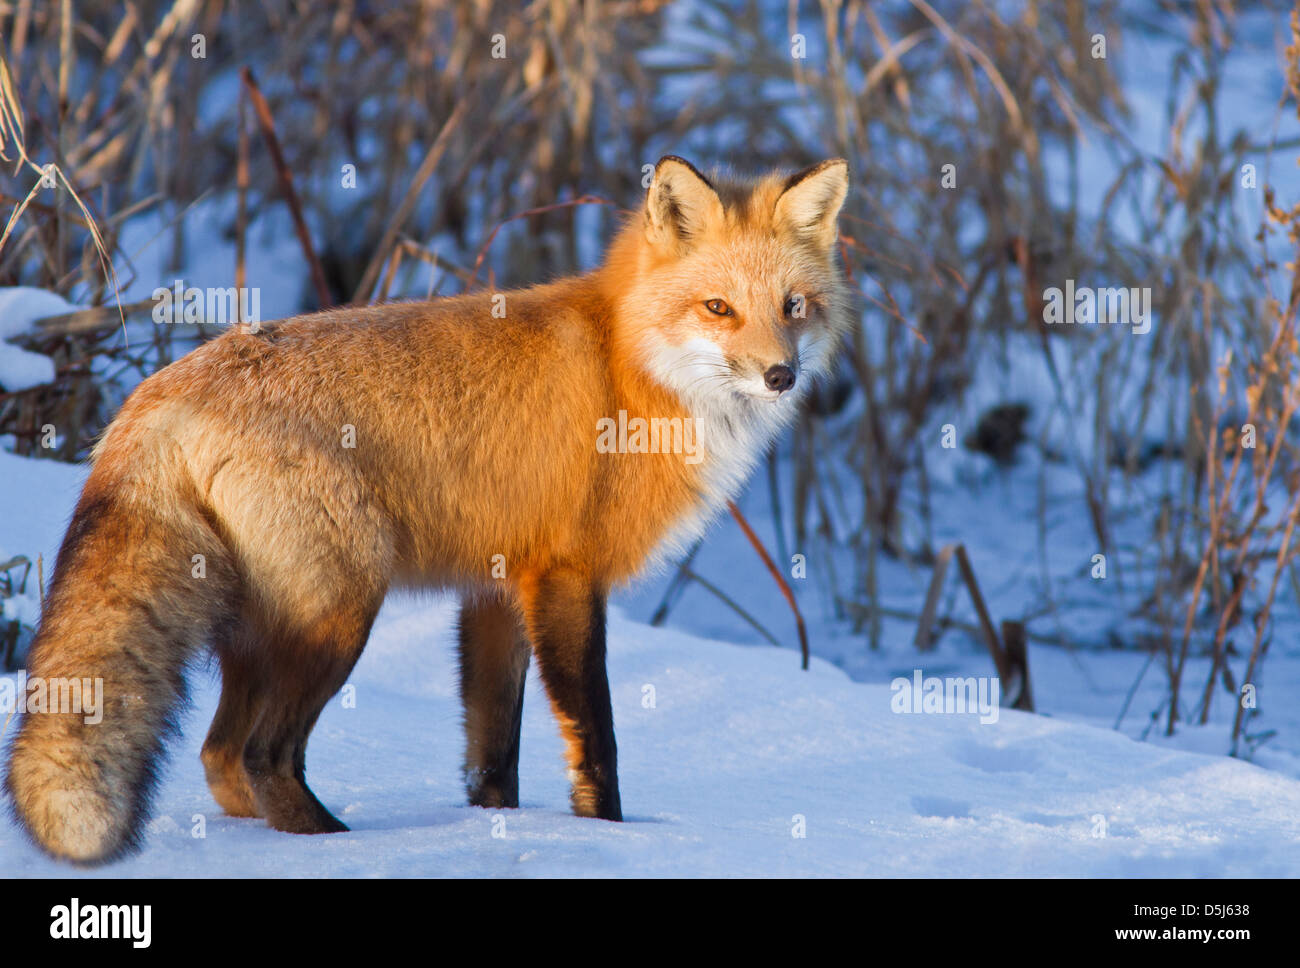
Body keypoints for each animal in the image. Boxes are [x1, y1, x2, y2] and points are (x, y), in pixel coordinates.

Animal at [5, 155, 851, 864]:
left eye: (793, 306)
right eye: (718, 308)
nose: (780, 376)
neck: (631, 368)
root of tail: (154, 396)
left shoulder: (497, 589)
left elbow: (492, 755)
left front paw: (496, 829)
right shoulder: (567, 578)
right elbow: (597, 740)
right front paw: (604, 837)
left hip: (261, 627)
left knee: (219, 755)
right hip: (339, 612)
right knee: (261, 754)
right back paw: (335, 845)